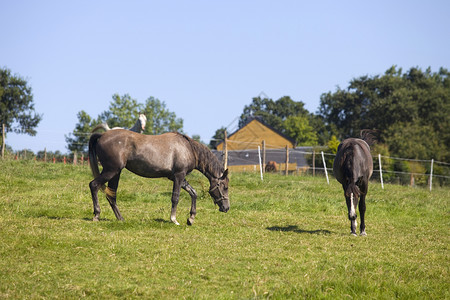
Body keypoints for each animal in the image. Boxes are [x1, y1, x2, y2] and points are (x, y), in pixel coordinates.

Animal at [89, 129, 229, 225]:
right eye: (225, 187)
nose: (226, 208)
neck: (188, 148)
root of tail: (102, 135)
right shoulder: (179, 176)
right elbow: (175, 198)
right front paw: (174, 219)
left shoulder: (176, 177)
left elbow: (193, 193)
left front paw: (191, 219)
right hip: (111, 171)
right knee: (94, 185)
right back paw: (96, 215)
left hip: (116, 173)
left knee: (111, 195)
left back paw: (121, 218)